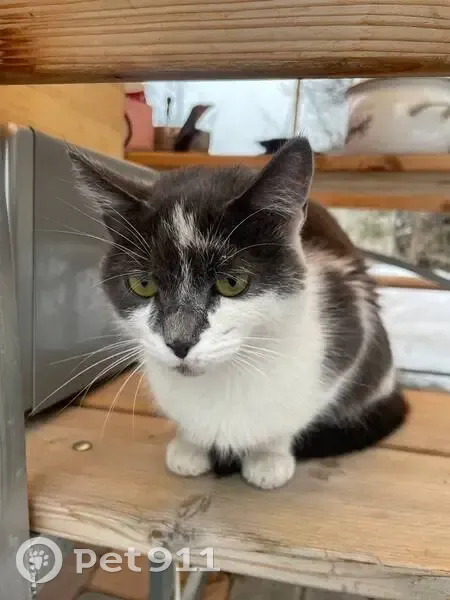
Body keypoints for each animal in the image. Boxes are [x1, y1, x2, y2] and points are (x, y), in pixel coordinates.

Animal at [69, 137, 408, 490]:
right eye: (143, 284)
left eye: (231, 283)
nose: (179, 341)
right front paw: (189, 446)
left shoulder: (349, 319)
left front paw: (269, 457)